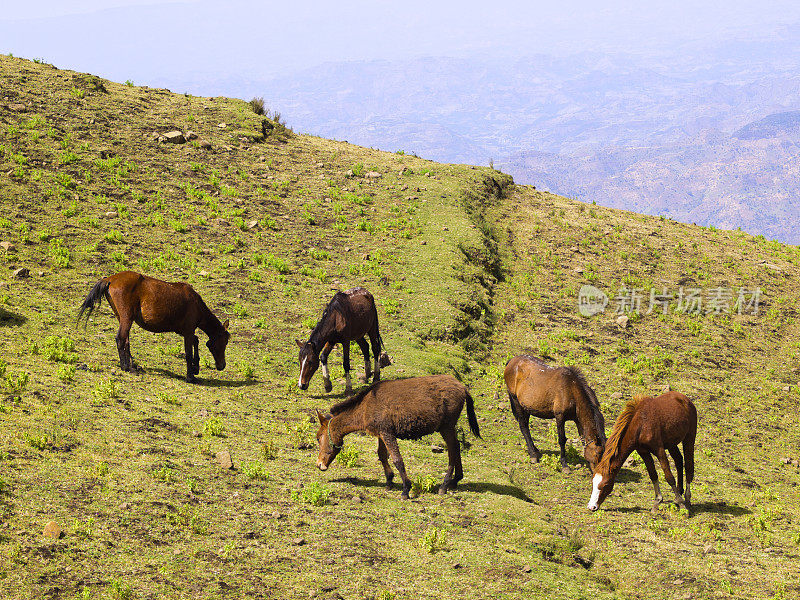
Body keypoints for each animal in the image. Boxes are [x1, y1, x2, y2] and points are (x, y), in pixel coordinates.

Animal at [78, 270, 230, 382]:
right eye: (223, 342)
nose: (222, 366)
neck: (196, 304)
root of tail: (110, 279)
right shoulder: (188, 331)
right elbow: (188, 352)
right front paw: (190, 376)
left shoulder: (183, 330)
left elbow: (196, 341)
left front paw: (196, 368)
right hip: (126, 318)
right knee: (121, 339)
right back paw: (126, 367)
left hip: (122, 318)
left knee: (126, 340)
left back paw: (132, 365)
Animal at [316, 378, 482, 500]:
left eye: (318, 438)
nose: (319, 465)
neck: (366, 406)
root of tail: (463, 387)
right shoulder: (381, 434)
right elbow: (382, 455)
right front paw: (389, 481)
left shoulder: (388, 433)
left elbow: (397, 460)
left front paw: (406, 489)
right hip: (448, 428)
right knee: (457, 448)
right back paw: (456, 480)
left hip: (446, 427)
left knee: (452, 451)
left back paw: (444, 485)